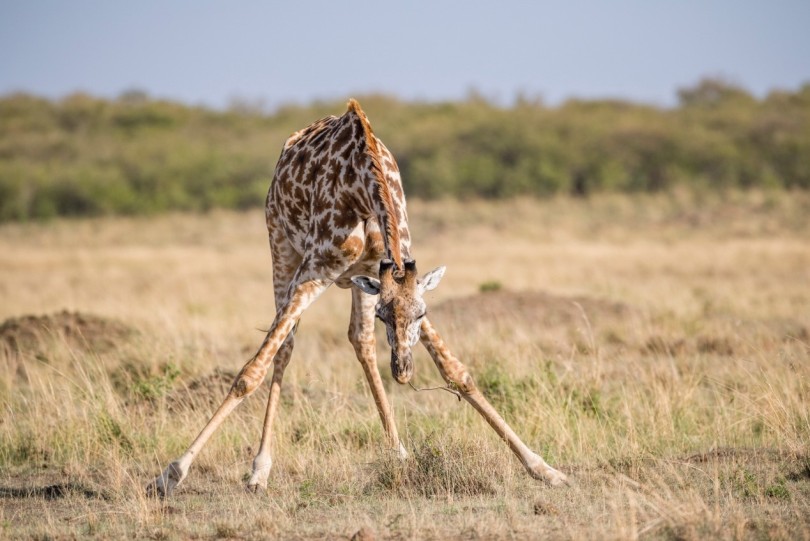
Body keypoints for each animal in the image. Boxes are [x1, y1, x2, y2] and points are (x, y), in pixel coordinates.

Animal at [152, 99, 568, 496]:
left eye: (421, 314)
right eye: (386, 316)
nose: (403, 371)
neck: (364, 187)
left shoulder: (386, 272)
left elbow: (456, 371)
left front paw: (544, 469)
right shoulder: (317, 269)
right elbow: (251, 371)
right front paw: (171, 474)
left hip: (356, 279)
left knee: (360, 340)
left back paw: (399, 455)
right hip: (281, 247)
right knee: (285, 346)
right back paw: (259, 472)